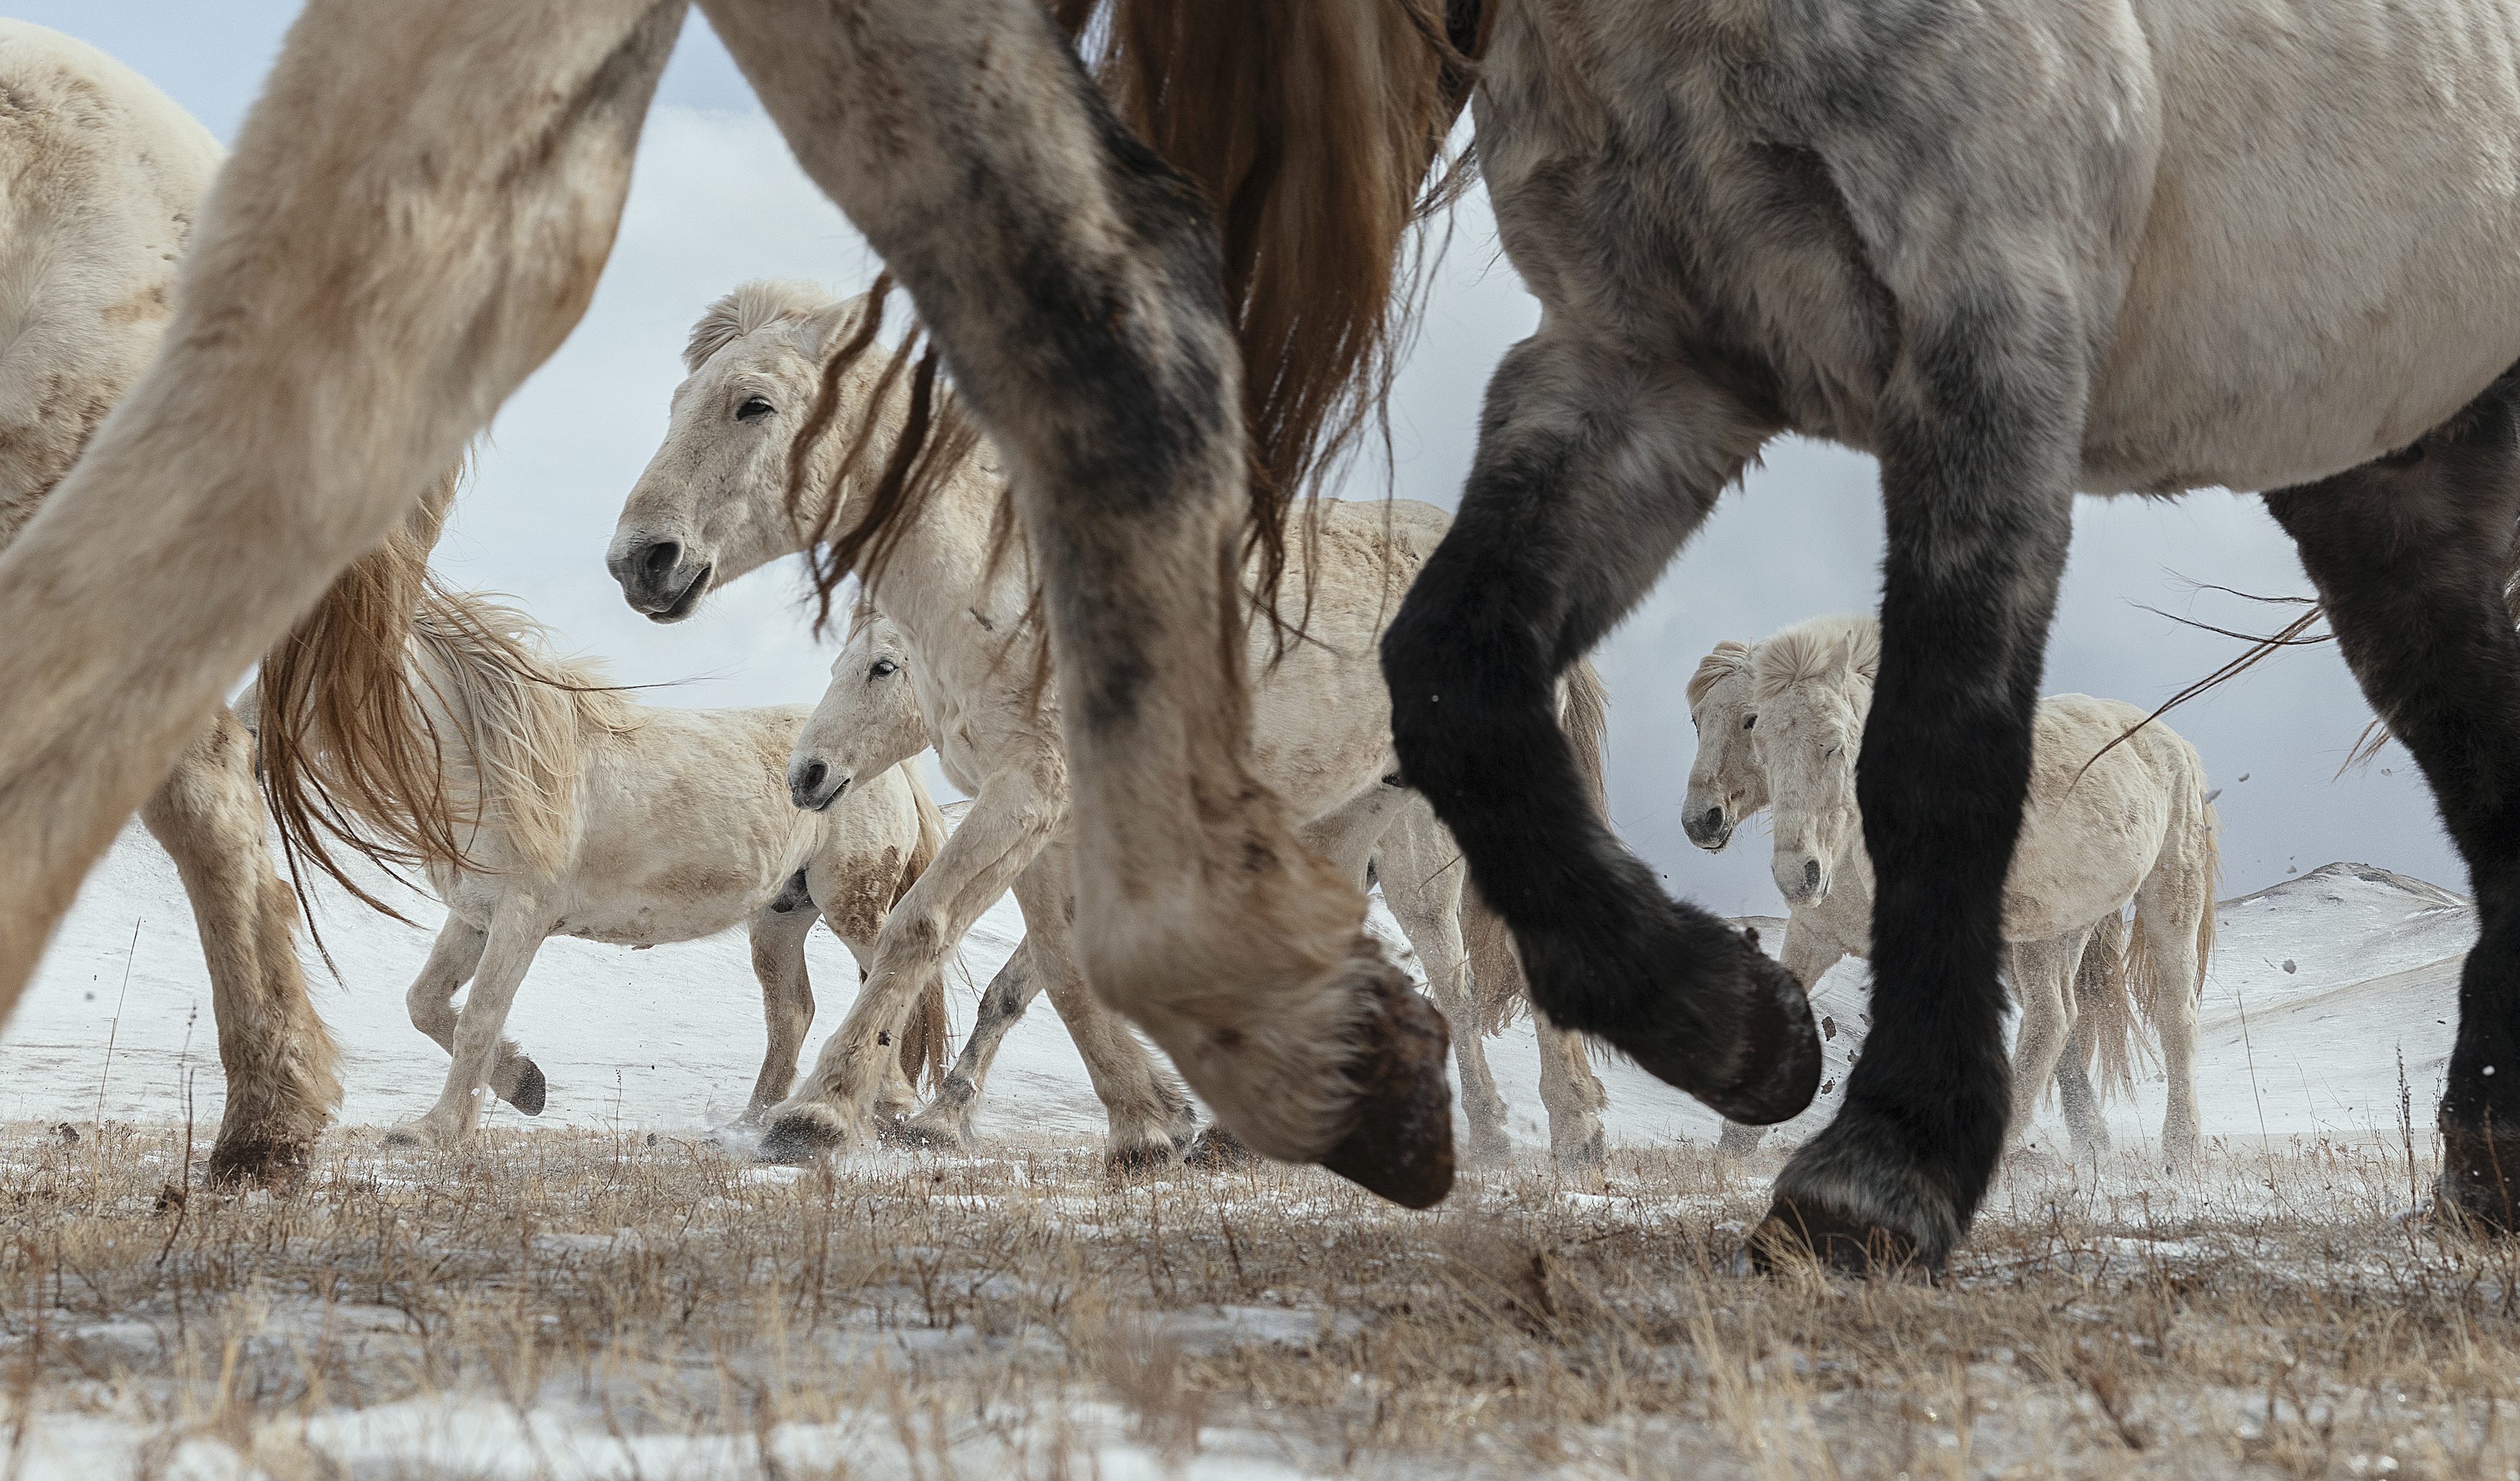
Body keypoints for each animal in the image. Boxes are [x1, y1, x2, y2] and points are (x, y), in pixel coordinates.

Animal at [260, 579, 950, 1144]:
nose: (249, 746)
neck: (494, 761)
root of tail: (889, 769)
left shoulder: (521, 918)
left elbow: (478, 1017)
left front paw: (436, 1131)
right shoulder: (475, 916)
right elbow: (425, 1004)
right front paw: (524, 1084)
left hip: (851, 905)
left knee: (893, 982)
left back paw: (884, 1108)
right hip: (780, 919)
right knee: (791, 1014)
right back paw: (750, 1126)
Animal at [792, 610, 1612, 1164]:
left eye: (884, 668)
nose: (807, 773)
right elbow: (1020, 987)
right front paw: (945, 1117)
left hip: (1420, 879)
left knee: (1459, 983)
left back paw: (1542, 1129)